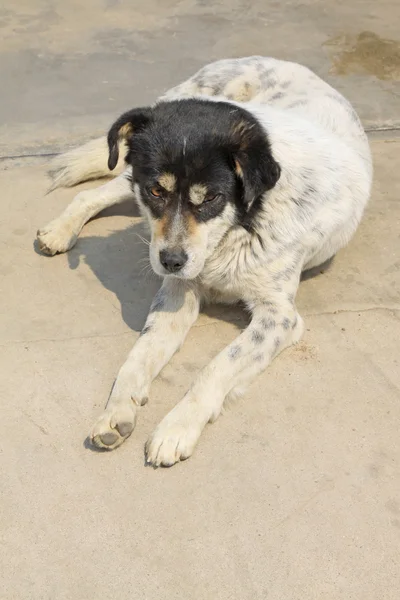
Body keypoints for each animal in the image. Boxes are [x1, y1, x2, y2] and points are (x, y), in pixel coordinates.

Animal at [36, 56, 372, 466]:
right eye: (156, 191)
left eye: (211, 197)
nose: (171, 261)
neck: (240, 225)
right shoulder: (177, 290)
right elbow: (138, 356)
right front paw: (116, 410)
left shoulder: (279, 318)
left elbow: (217, 366)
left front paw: (176, 428)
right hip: (130, 171)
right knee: (93, 194)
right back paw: (59, 230)